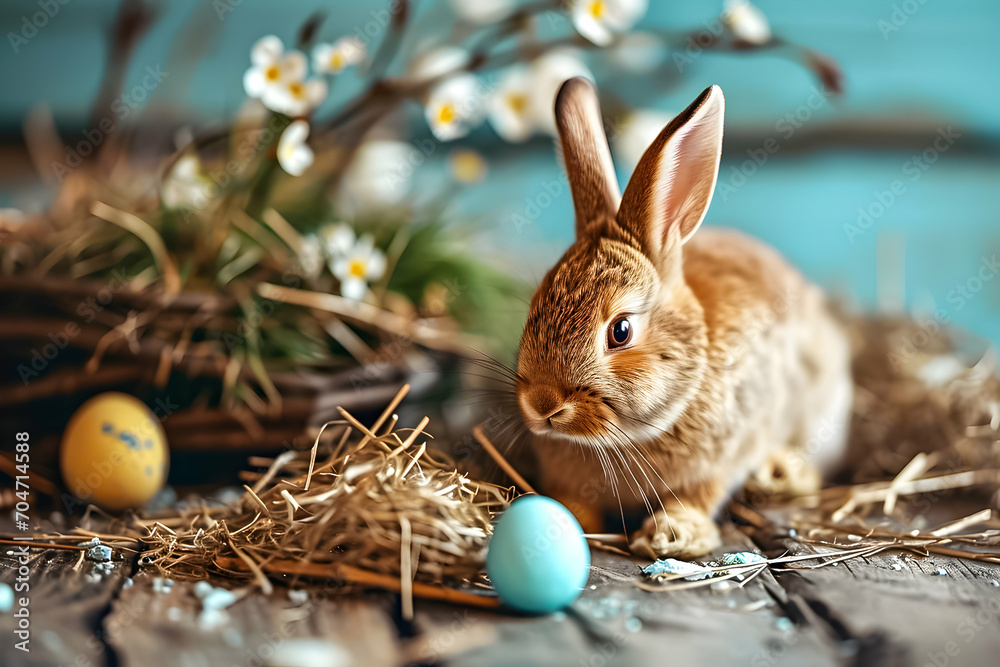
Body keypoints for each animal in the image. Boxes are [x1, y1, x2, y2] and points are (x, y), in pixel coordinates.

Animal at [516, 77, 852, 560]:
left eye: (620, 331)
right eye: (535, 303)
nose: (542, 404)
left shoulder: (729, 451)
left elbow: (699, 495)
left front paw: (673, 534)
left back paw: (780, 473)